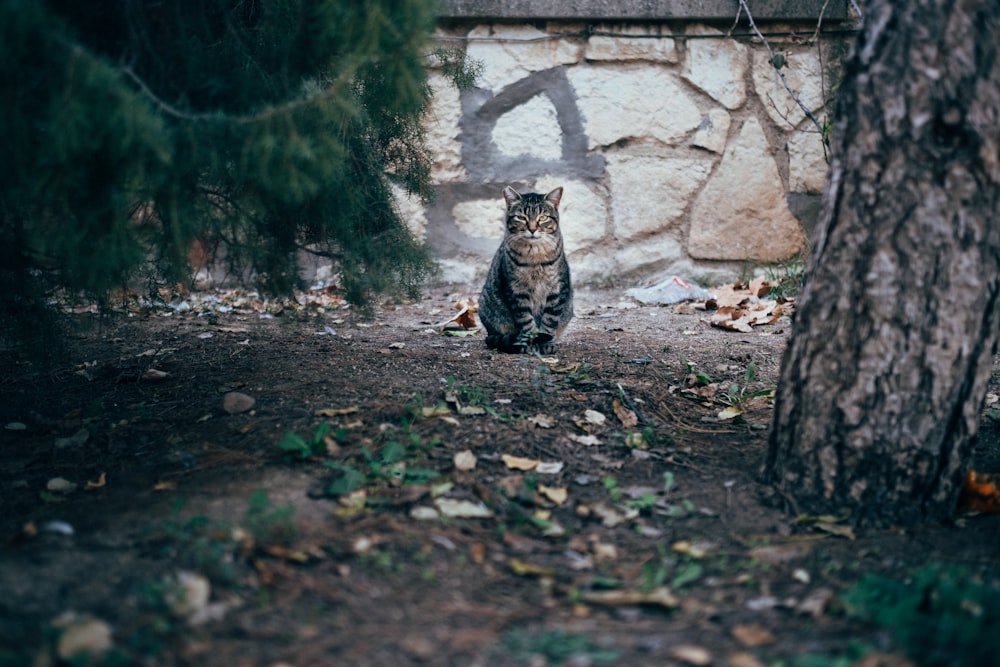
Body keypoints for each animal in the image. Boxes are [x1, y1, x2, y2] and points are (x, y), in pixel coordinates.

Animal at [480, 185, 576, 354]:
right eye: (521, 217)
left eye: (543, 218)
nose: (532, 229)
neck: (534, 255)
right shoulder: (516, 290)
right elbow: (526, 321)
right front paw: (531, 342)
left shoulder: (557, 289)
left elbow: (549, 321)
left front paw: (545, 343)